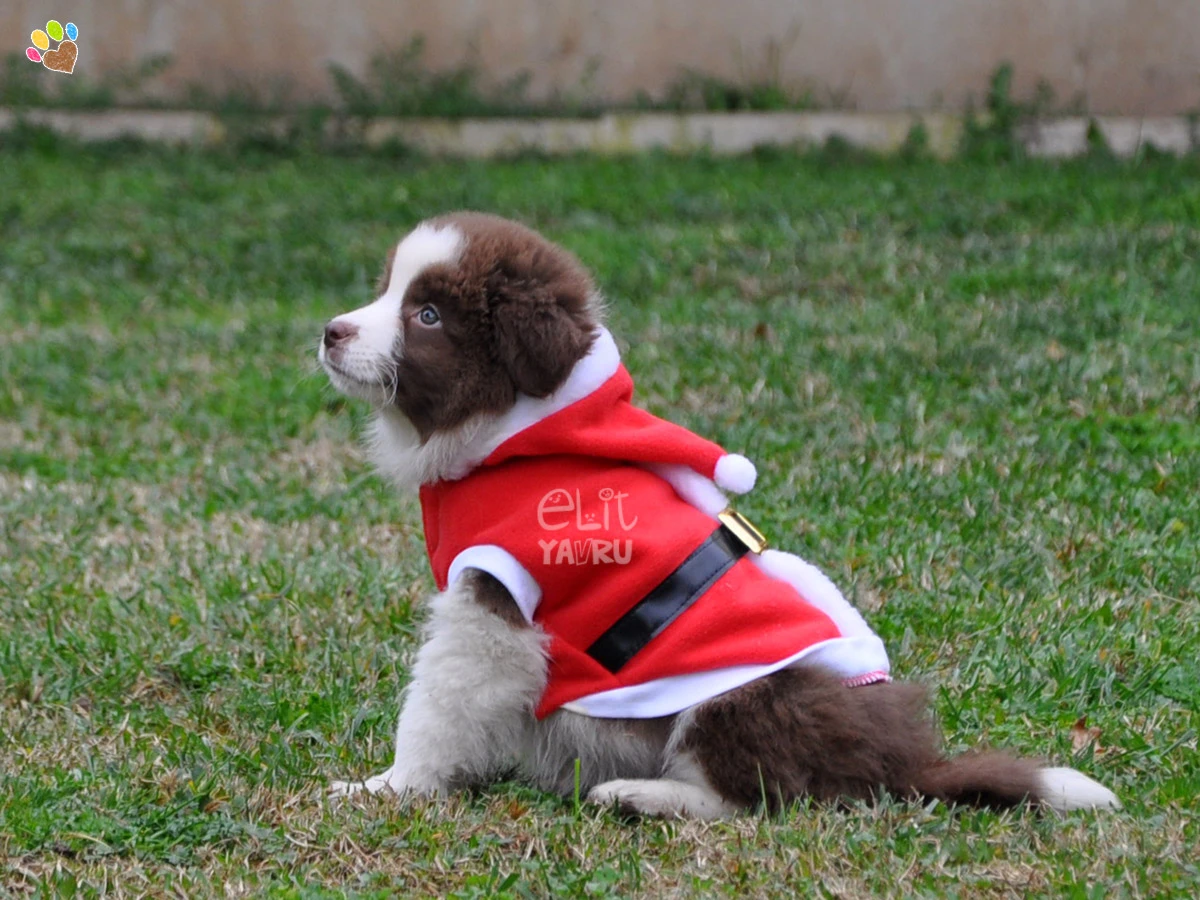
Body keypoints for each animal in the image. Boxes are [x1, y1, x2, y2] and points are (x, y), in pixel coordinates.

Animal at [316, 214, 1113, 820]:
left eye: (427, 315)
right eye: (386, 290)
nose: (330, 330)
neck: (511, 435)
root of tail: (895, 765)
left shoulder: (494, 603)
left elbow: (438, 702)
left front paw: (386, 787)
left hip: (736, 698)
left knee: (766, 798)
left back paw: (640, 796)